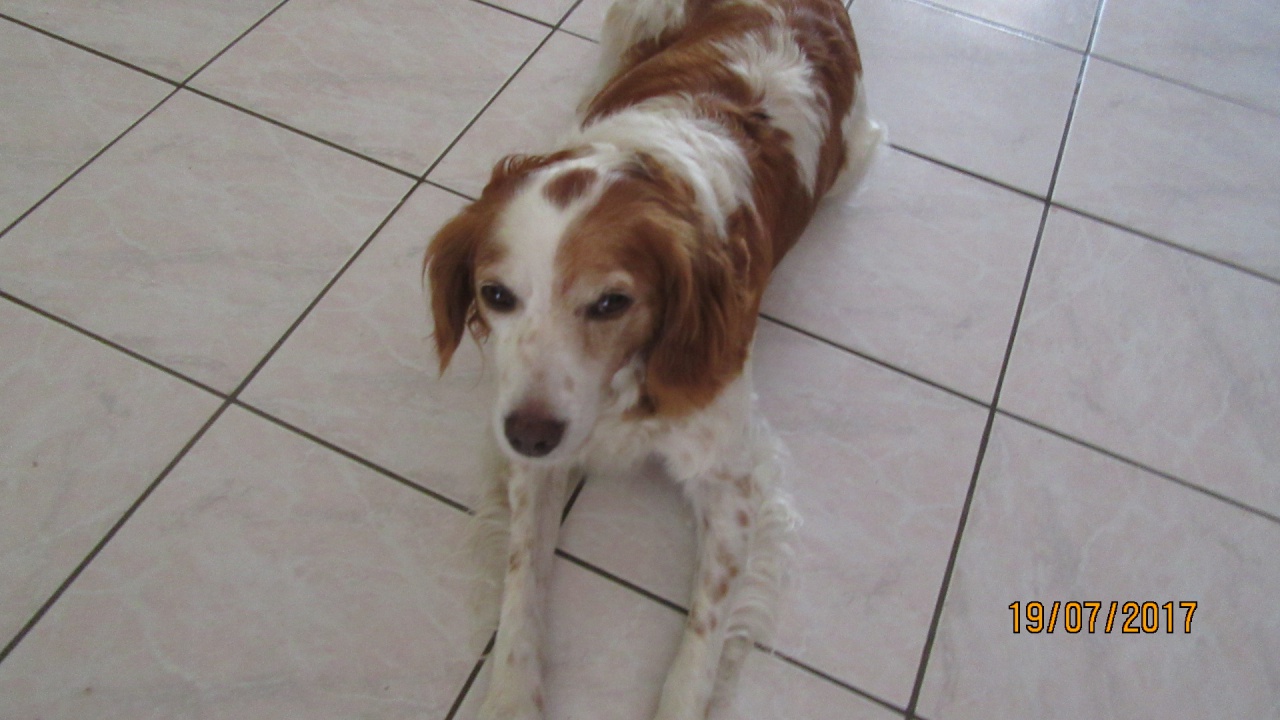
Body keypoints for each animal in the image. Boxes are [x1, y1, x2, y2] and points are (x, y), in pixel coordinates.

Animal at [423, 0, 881, 717]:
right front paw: (510, 695)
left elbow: (704, 630)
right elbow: (523, 583)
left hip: (857, 156)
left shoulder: (732, 477)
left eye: (613, 302)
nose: (528, 435)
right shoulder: (536, 449)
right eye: (496, 295)